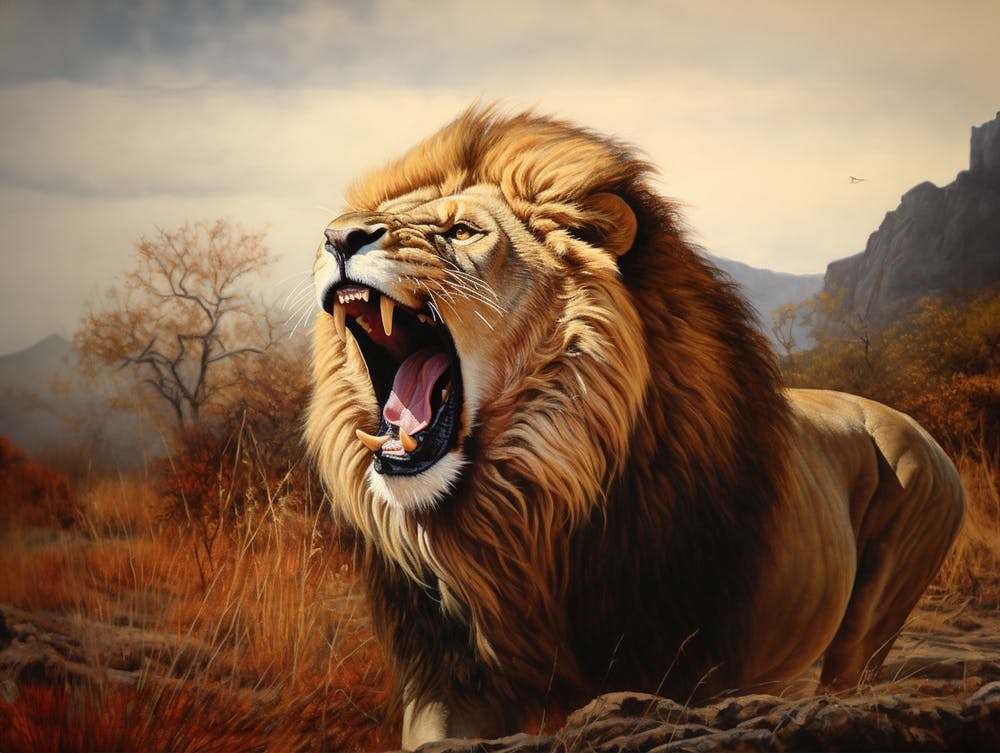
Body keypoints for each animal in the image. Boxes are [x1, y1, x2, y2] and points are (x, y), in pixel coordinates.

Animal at [305, 107, 966, 749]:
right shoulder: (447, 678)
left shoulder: (683, 663)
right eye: (354, 225)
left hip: (887, 584)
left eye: (462, 232)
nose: (338, 236)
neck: (515, 523)